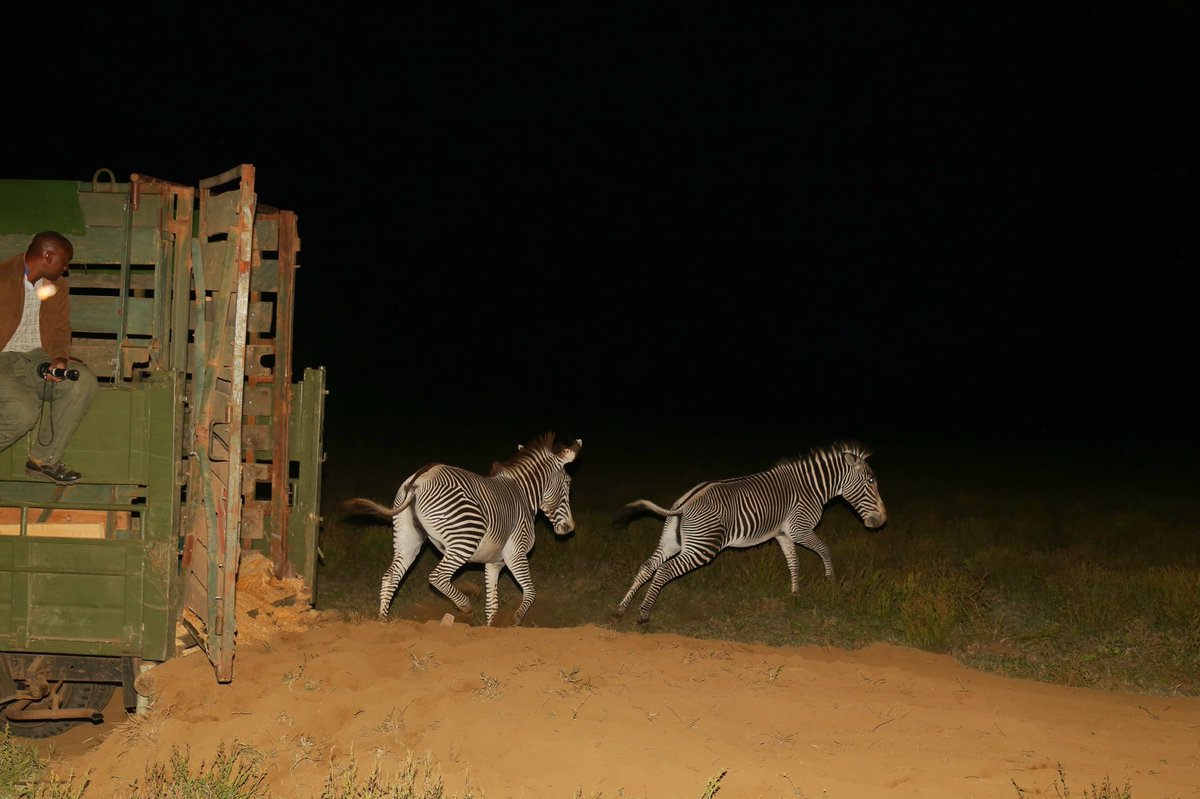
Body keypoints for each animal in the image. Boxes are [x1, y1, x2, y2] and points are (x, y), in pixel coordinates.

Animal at [343, 433, 582, 626]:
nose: (569, 528)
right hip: (465, 538)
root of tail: (419, 478)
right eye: (569, 482)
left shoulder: (494, 562)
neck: (522, 495)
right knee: (438, 576)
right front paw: (514, 622)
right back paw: (466, 608)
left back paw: (382, 623)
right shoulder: (516, 552)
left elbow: (492, 605)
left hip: (407, 538)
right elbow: (531, 592)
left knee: (390, 576)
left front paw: (491, 628)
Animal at [614, 441, 886, 624]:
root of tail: (684, 503)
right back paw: (643, 614)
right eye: (871, 481)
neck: (812, 487)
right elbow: (825, 549)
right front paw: (830, 580)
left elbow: (794, 562)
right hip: (702, 547)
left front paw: (795, 594)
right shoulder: (800, 529)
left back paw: (621, 609)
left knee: (647, 567)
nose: (881, 521)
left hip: (672, 541)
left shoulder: (783, 534)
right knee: (664, 570)